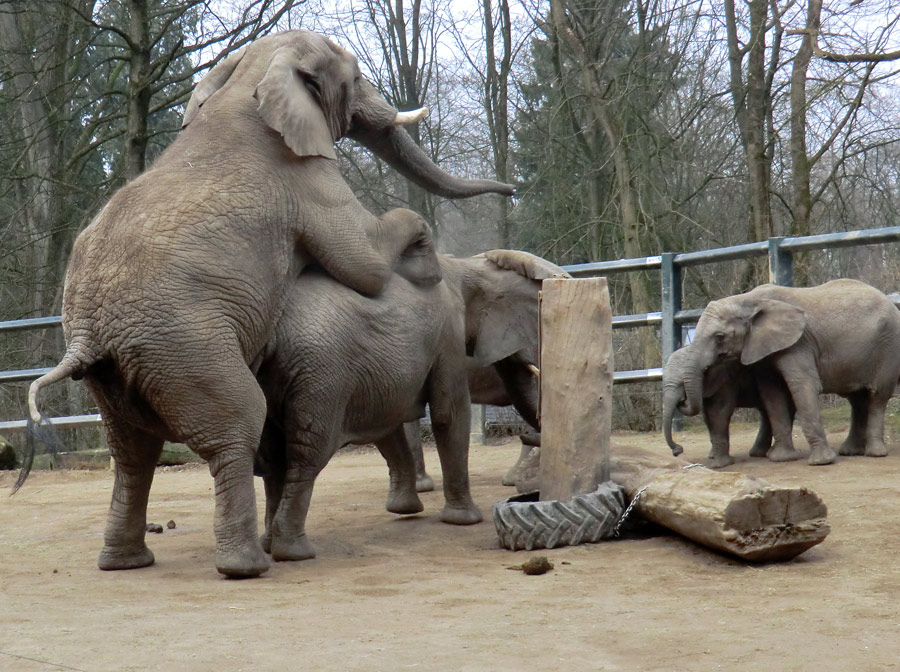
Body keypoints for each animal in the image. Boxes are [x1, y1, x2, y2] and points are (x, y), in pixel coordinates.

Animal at [22, 30, 512, 576]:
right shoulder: (308, 181)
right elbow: (365, 264)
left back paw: (126, 563)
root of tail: (87, 337)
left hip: (118, 372)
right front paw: (422, 263)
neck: (249, 77)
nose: (513, 188)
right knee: (238, 423)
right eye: (356, 76)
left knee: (132, 451)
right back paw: (250, 564)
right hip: (183, 346)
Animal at [250, 239, 568, 564]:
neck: (464, 265)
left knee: (274, 459)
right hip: (320, 378)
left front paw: (406, 509)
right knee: (307, 453)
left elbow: (390, 421)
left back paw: (269, 544)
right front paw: (464, 520)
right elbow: (449, 414)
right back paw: (293, 551)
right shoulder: (449, 333)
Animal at [660, 342, 796, 468]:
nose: (677, 451)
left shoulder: (726, 378)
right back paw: (759, 453)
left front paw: (719, 464)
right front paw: (712, 456)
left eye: (682, 384)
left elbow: (719, 410)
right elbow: (707, 416)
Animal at [684, 280, 900, 464]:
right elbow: (772, 393)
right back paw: (850, 452)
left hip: (888, 347)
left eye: (719, 337)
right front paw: (782, 459)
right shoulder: (762, 349)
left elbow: (802, 386)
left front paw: (821, 462)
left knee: (877, 396)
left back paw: (875, 454)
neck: (748, 300)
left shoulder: (798, 343)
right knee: (857, 399)